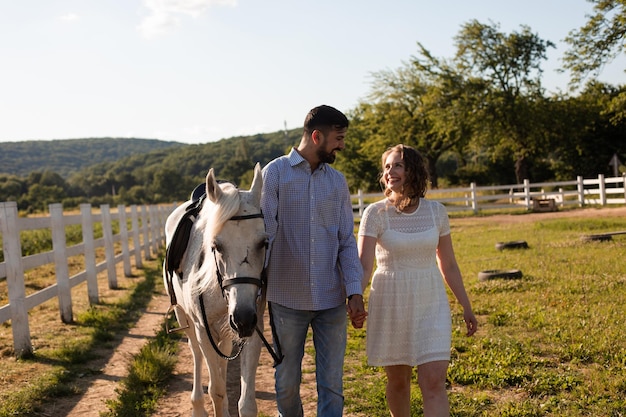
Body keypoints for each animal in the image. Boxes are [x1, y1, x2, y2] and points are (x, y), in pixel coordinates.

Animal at [162, 162, 266, 416]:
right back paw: (197, 406)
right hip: (185, 319)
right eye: (216, 245)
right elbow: (216, 392)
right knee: (197, 355)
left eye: (264, 242)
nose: (243, 317)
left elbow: (246, 402)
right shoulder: (204, 331)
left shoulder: (253, 330)